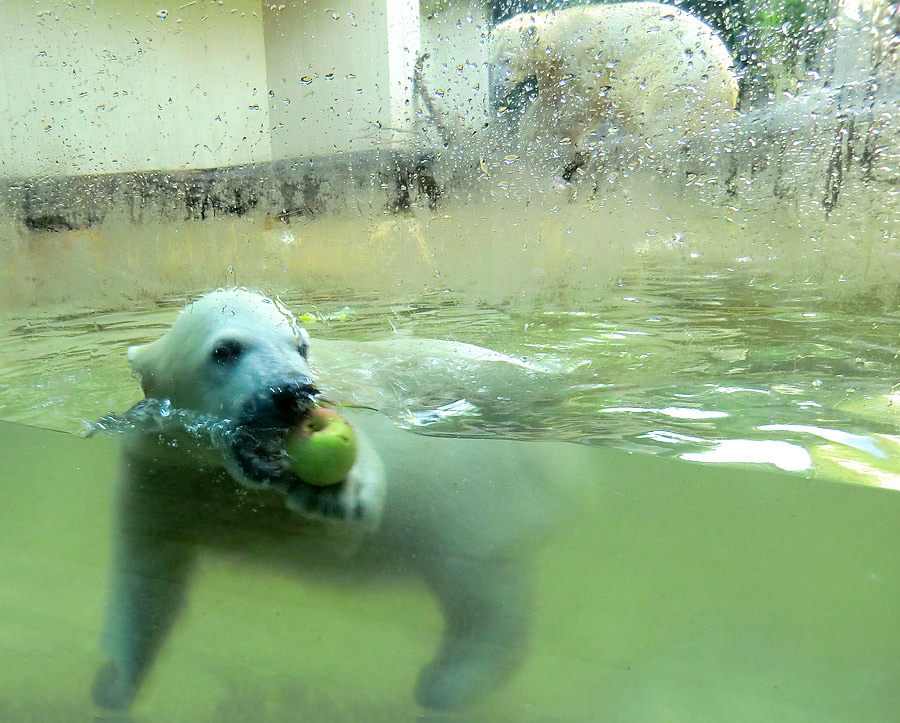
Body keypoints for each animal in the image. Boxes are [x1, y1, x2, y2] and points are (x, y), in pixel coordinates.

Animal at [93, 288, 596, 712]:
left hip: (482, 494)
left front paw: (340, 497)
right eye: (225, 349)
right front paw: (114, 685)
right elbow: (148, 582)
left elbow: (347, 521)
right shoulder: (162, 474)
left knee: (482, 587)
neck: (224, 477)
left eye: (300, 346)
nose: (293, 392)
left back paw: (446, 684)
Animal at [492, 2, 740, 180]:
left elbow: (583, 101)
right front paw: (528, 136)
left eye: (507, 59)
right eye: (491, 62)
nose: (497, 86)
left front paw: (559, 136)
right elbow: (551, 98)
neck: (563, 31)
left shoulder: (582, 56)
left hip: (675, 77)